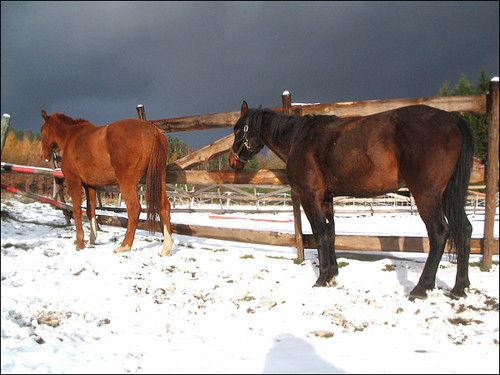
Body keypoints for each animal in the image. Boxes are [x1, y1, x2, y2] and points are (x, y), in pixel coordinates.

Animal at [39, 110, 172, 258]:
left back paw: (124, 246)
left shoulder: (73, 181)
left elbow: (77, 210)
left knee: (134, 209)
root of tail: (152, 130)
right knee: (164, 206)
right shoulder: (90, 185)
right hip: (158, 178)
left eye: (42, 130)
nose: (43, 156)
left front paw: (80, 244)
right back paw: (166, 248)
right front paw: (92, 238)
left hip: (127, 182)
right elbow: (90, 210)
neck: (71, 137)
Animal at [229, 102, 472, 300]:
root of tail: (452, 119)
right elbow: (331, 233)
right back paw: (459, 288)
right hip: (448, 195)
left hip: (427, 195)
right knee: (465, 230)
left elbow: (320, 233)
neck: (299, 139)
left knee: (439, 233)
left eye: (238, 129)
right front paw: (333, 274)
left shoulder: (310, 197)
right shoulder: (326, 199)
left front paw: (323, 279)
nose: (233, 160)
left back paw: (421, 288)